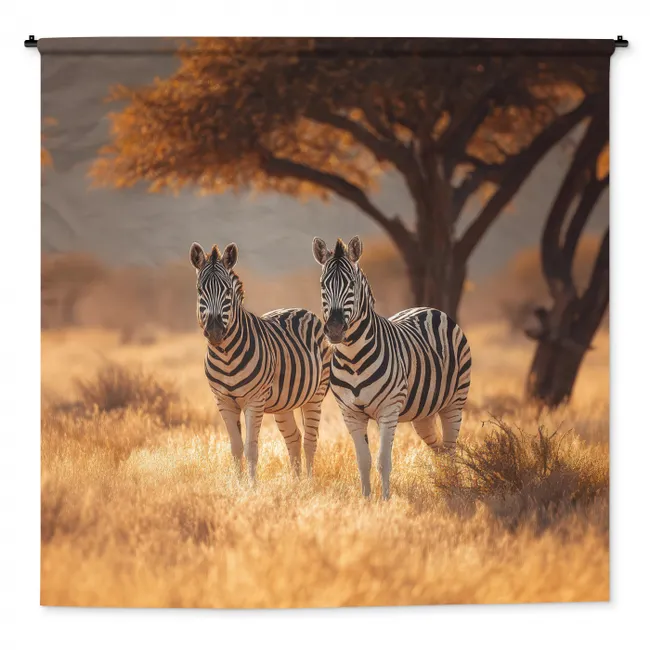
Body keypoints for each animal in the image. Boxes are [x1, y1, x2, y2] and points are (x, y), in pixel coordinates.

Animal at [190, 242, 331, 481]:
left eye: (227, 291)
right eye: (200, 290)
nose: (215, 331)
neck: (226, 356)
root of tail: (302, 309)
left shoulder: (254, 401)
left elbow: (251, 449)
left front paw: (252, 486)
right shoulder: (223, 401)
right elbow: (235, 448)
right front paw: (238, 485)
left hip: (316, 394)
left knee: (310, 442)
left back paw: (309, 483)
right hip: (284, 402)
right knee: (294, 438)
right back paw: (296, 484)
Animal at [312, 236, 471, 500]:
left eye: (352, 285)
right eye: (323, 285)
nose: (334, 330)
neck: (353, 359)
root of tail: (429, 308)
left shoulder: (388, 410)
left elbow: (383, 462)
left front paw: (386, 501)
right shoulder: (350, 414)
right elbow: (363, 461)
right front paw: (366, 500)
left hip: (454, 402)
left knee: (449, 450)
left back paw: (454, 489)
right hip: (423, 413)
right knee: (438, 448)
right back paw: (443, 484)